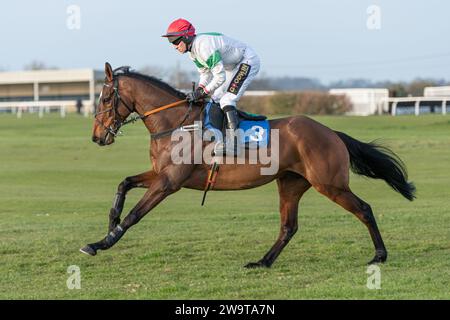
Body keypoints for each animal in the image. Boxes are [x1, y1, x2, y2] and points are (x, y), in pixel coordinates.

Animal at [81, 62, 414, 268]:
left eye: (106, 98)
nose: (97, 136)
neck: (175, 124)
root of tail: (331, 132)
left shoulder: (169, 182)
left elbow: (136, 214)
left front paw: (101, 242)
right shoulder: (161, 175)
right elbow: (124, 183)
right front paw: (110, 222)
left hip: (329, 184)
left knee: (364, 209)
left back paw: (379, 255)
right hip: (291, 183)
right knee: (288, 226)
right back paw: (263, 261)